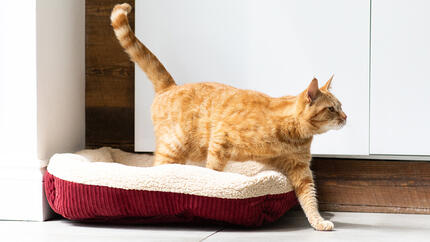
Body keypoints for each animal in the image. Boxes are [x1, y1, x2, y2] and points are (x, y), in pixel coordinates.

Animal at [110, 3, 346, 231]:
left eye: (341, 107)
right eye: (331, 109)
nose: (346, 117)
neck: (290, 132)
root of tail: (171, 86)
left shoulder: (300, 169)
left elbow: (309, 199)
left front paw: (318, 221)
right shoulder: (221, 140)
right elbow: (213, 172)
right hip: (174, 147)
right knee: (158, 169)